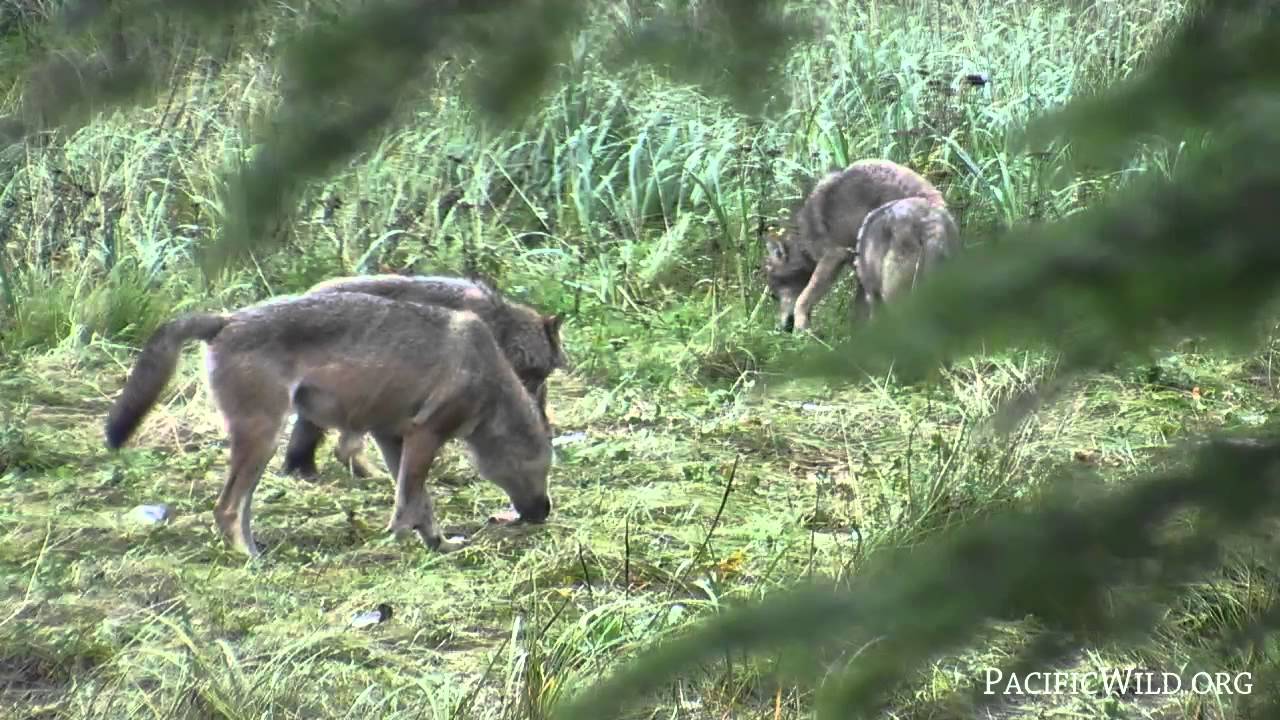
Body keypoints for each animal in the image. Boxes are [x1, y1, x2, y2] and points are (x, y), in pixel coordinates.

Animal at [103, 292, 554, 559]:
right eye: (545, 469)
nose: (546, 512)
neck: (489, 379)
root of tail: (226, 319)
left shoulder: (393, 438)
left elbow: (420, 504)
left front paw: (438, 543)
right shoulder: (425, 436)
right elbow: (408, 504)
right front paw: (396, 545)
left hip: (263, 444)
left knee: (237, 509)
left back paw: (256, 550)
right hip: (264, 439)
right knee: (226, 509)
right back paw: (250, 559)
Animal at [762, 158, 946, 332]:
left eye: (774, 295)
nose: (782, 328)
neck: (804, 236)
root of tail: (931, 220)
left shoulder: (834, 256)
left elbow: (802, 299)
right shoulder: (859, 273)